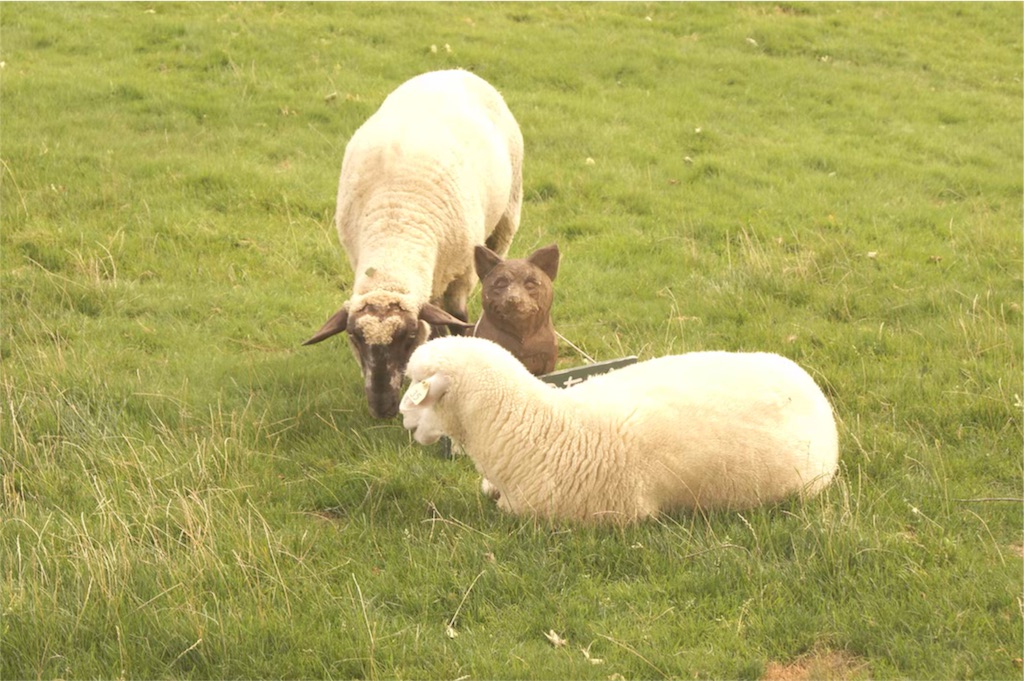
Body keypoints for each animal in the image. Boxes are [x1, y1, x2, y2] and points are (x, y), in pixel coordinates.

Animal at [305, 70, 524, 419]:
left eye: (407, 337)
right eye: (355, 337)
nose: (382, 408)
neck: (395, 228)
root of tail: (452, 70)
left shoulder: (462, 274)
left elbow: (457, 319)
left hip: (506, 216)